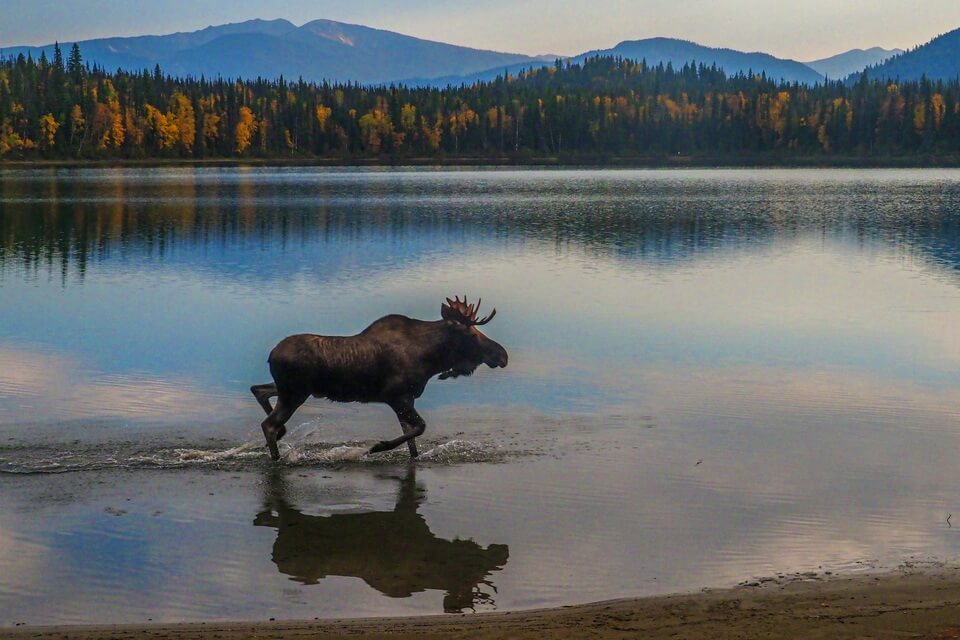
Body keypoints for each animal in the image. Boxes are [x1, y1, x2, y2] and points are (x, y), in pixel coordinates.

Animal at [249, 296, 510, 460]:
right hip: (294, 393)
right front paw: (377, 447)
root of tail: (271, 355)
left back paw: (281, 435)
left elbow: (412, 440)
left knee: (259, 390)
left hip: (291, 389)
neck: (431, 359)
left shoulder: (407, 399)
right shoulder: (396, 396)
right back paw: (277, 457)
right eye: (472, 334)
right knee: (268, 424)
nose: (502, 355)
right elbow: (420, 427)